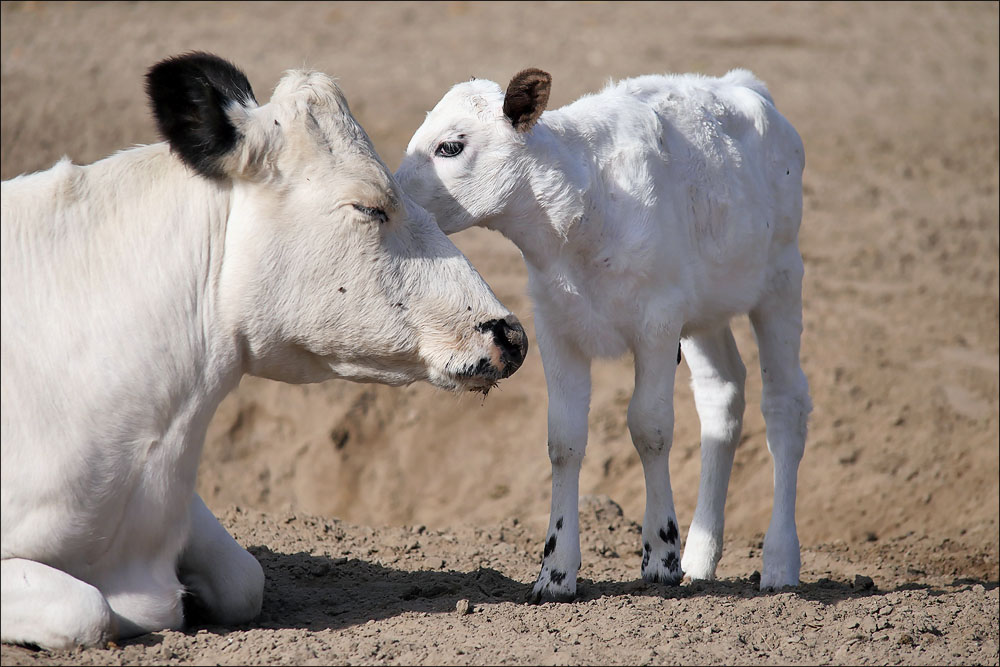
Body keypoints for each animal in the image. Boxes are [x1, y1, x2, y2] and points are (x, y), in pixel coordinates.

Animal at [398, 69, 812, 604]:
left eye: (450, 146)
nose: (395, 194)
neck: (583, 215)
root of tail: (743, 83)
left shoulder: (658, 322)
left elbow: (650, 429)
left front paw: (660, 556)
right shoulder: (557, 327)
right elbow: (564, 440)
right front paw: (555, 571)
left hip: (781, 277)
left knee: (784, 404)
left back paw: (778, 562)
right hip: (706, 309)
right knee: (722, 395)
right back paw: (701, 557)